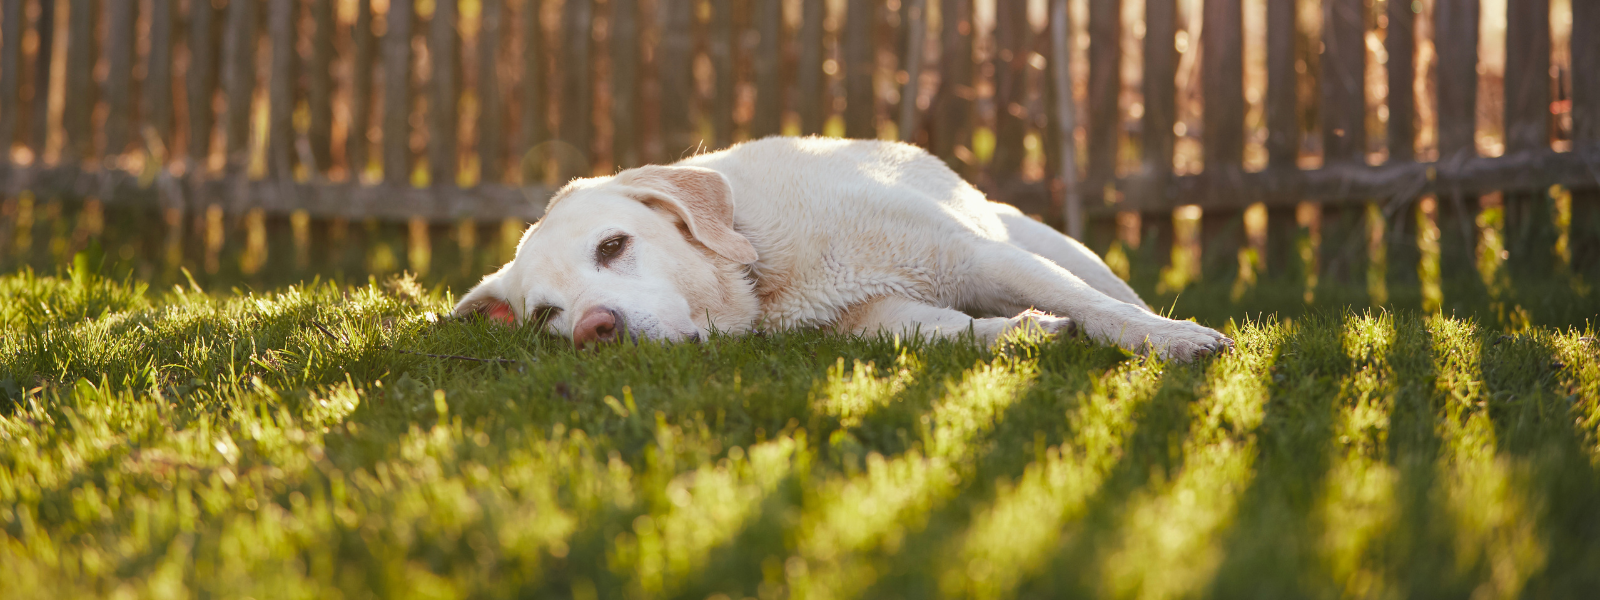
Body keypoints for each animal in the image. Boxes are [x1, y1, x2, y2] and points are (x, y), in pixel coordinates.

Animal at [457, 137, 1228, 361]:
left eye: (614, 245)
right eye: (546, 316)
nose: (595, 329)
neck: (765, 268)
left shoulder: (980, 258)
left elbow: (1097, 309)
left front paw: (1177, 341)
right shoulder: (871, 319)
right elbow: (950, 330)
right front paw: (1025, 333)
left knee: (1110, 292)